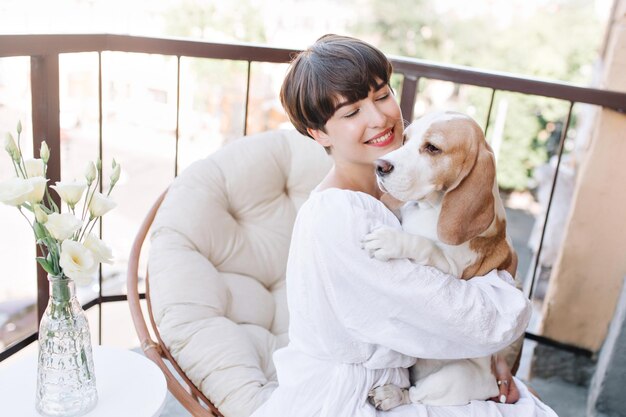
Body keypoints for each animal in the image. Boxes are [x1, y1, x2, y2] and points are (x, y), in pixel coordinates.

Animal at [360, 109, 516, 406]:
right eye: (405, 140)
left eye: (432, 148)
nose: (379, 165)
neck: (431, 208)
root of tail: (492, 385)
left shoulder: (452, 271)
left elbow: (425, 245)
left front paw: (391, 241)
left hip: (453, 377)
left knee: (415, 395)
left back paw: (391, 394)